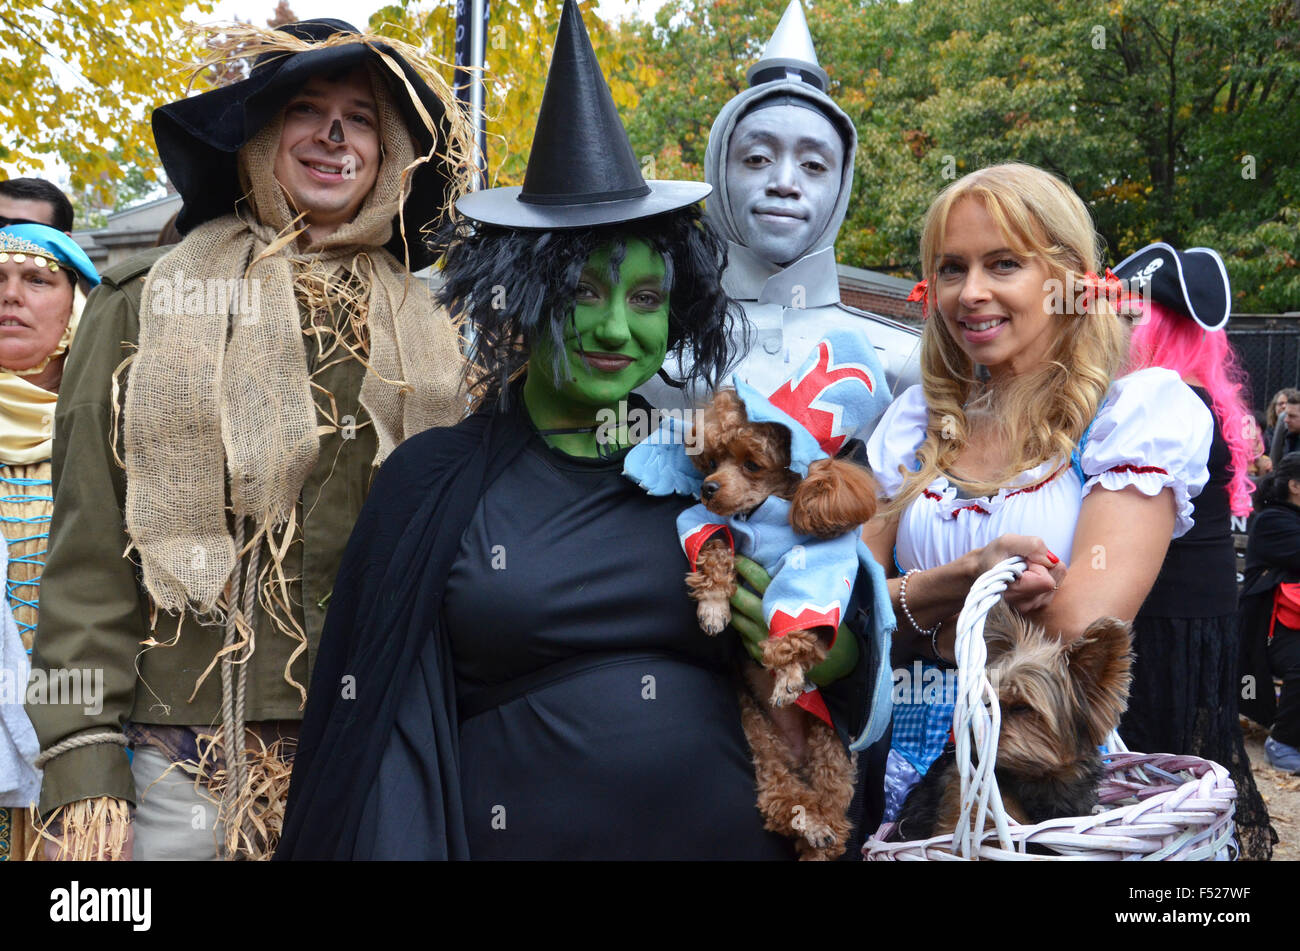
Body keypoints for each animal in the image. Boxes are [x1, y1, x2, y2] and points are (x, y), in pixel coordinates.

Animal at [686, 387, 878, 862]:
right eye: (713, 459)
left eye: (752, 464)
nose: (706, 487)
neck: (765, 518)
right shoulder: (721, 530)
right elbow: (714, 544)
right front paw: (714, 606)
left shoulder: (815, 569)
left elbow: (800, 619)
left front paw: (789, 673)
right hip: (759, 733)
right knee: (779, 794)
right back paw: (806, 821)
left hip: (831, 746)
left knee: (833, 808)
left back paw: (819, 830)